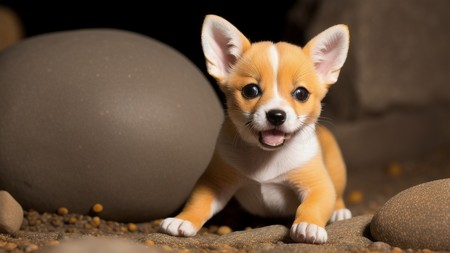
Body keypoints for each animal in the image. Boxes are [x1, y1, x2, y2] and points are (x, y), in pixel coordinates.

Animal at [160, 14, 354, 244]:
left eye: (301, 94)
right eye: (250, 91)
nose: (276, 115)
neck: (265, 156)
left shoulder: (318, 186)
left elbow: (312, 205)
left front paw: (309, 225)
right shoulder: (214, 184)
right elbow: (199, 202)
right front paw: (184, 219)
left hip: (337, 170)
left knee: (338, 194)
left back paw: (339, 211)